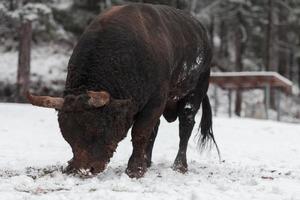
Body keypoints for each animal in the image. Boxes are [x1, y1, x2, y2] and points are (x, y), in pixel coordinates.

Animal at [27, 3, 219, 178]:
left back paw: (179, 166)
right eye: (67, 135)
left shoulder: (156, 100)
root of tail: (202, 32)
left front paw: (135, 170)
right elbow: (147, 131)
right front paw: (141, 165)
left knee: (185, 124)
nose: (83, 170)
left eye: (99, 129)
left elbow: (140, 132)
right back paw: (148, 162)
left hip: (196, 90)